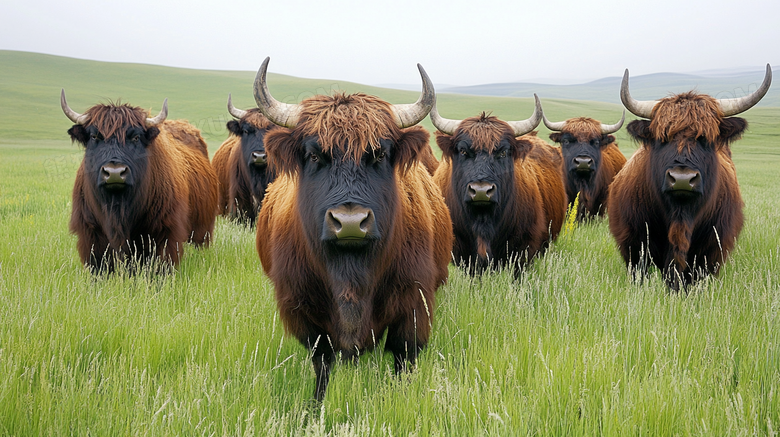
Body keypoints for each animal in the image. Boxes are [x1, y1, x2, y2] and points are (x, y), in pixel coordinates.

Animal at [59, 90, 219, 270]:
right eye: (94, 136)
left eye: (135, 137)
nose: (114, 172)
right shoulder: (91, 233)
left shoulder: (165, 231)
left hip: (202, 231)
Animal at [253, 58, 454, 402]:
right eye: (315, 154)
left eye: (379, 154)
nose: (349, 222)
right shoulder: (303, 311)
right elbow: (322, 363)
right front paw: (315, 406)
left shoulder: (414, 307)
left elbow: (402, 359)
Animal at [608, 65, 772, 290]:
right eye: (663, 138)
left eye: (705, 138)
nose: (682, 179)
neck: (680, 215)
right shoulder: (635, 247)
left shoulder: (711, 252)